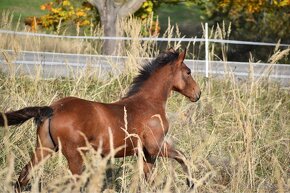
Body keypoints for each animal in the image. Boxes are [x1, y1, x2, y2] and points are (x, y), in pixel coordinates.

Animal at [0, 48, 201, 191]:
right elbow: (183, 156)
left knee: (23, 176)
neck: (149, 102)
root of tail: (53, 109)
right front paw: (191, 183)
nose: (197, 94)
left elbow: (149, 180)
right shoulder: (155, 146)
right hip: (74, 155)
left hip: (44, 148)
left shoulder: (145, 153)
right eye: (188, 72)